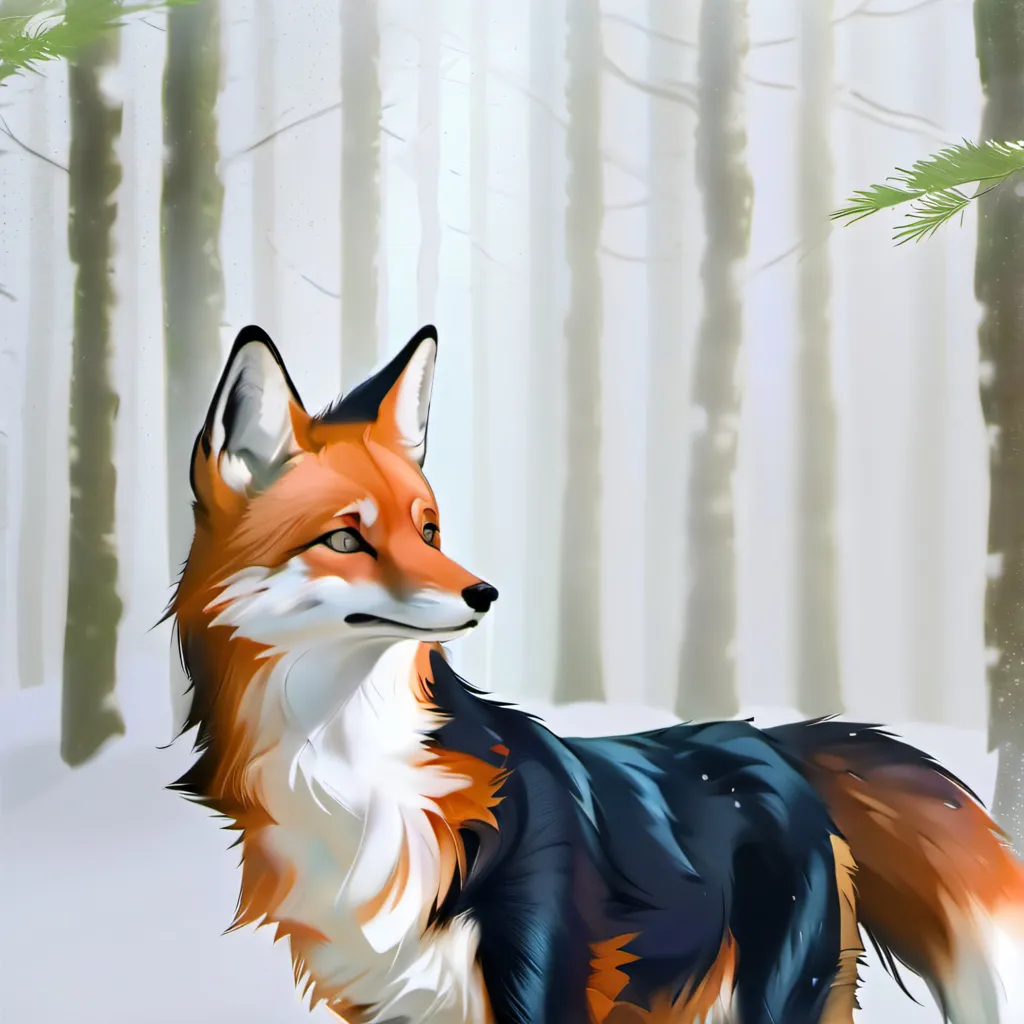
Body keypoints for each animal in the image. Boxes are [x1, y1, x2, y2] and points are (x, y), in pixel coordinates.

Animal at [169, 322, 1024, 1024]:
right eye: (347, 539)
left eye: (429, 530)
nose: (483, 593)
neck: (357, 781)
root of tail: (778, 741)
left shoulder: (538, 986)